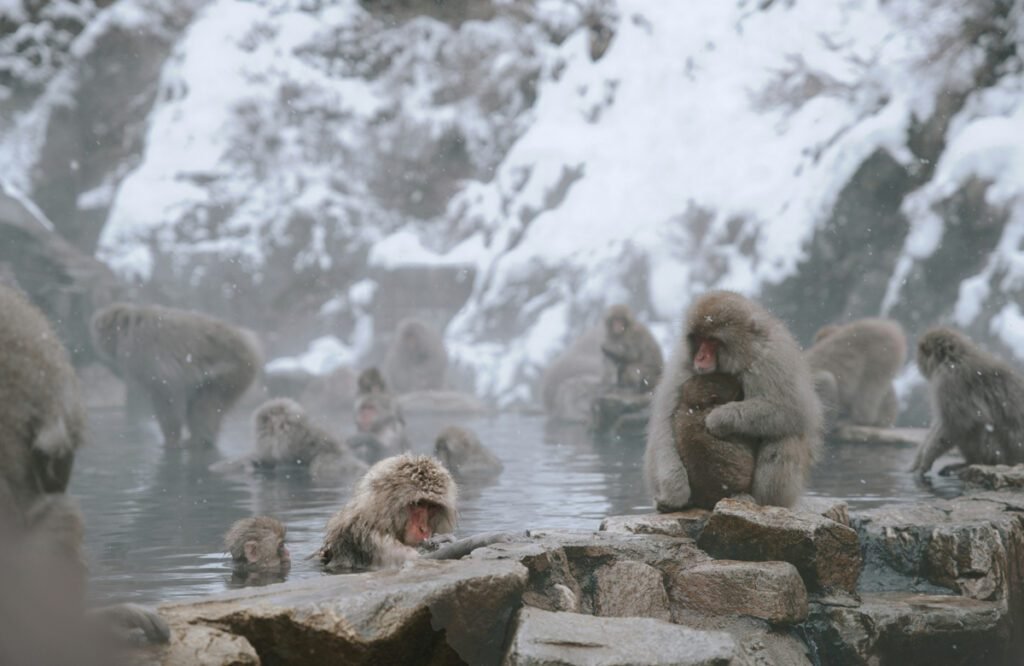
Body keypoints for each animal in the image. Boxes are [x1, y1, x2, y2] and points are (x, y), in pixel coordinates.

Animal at [90, 302, 262, 447]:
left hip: (231, 371)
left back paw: (200, 439)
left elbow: (166, 389)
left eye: (102, 326)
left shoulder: (143, 350)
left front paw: (170, 438)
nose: (96, 330)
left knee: (207, 402)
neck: (130, 328)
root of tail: (250, 343)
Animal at [910, 327, 1024, 476]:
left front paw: (926, 461)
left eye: (922, 350)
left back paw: (971, 463)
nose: (917, 360)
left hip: (998, 453)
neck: (953, 359)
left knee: (975, 426)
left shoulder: (950, 383)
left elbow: (955, 424)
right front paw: (917, 460)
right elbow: (939, 423)